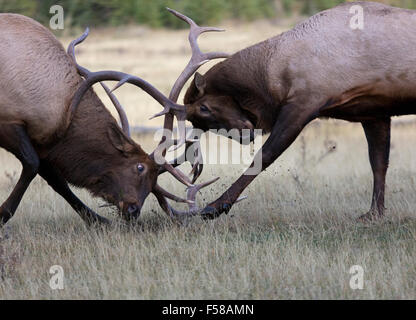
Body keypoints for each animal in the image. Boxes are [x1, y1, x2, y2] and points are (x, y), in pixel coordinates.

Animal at [0, 9, 231, 225]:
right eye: (139, 167)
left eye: (153, 181)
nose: (133, 210)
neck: (63, 112)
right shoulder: (10, 120)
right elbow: (32, 164)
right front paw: (3, 214)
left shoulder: (43, 143)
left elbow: (56, 180)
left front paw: (98, 221)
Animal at [180, 1, 416, 221]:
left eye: (203, 108)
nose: (244, 134)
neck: (272, 78)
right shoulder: (374, 112)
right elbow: (379, 162)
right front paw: (375, 213)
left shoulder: (304, 103)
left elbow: (264, 156)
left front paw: (215, 206)